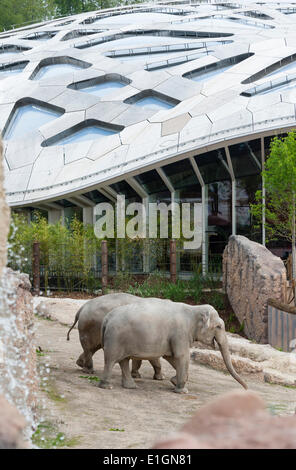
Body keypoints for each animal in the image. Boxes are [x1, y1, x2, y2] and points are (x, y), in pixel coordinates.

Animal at [99, 300, 247, 394]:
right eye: (219, 327)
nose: (246, 389)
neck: (194, 309)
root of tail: (106, 319)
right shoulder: (180, 333)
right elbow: (181, 356)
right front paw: (182, 391)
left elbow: (170, 356)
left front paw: (173, 381)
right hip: (115, 338)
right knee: (111, 360)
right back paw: (107, 387)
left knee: (124, 360)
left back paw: (130, 387)